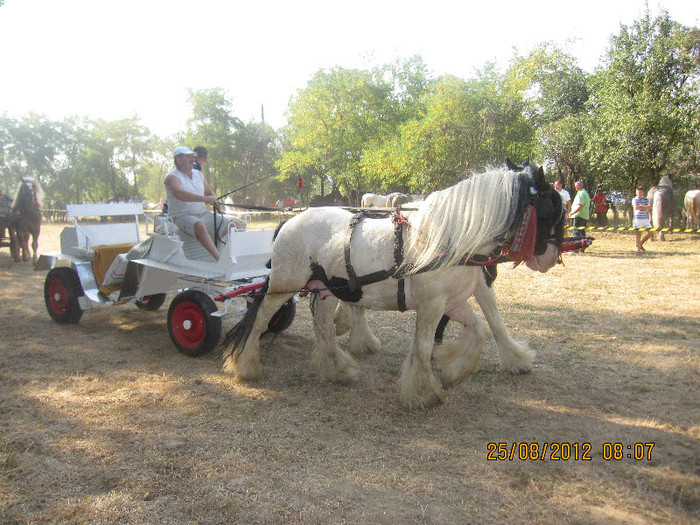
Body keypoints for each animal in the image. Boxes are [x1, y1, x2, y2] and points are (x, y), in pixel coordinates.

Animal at [226, 162, 568, 408]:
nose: (554, 257)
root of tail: (289, 221)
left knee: (323, 328)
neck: (450, 238)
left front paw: (454, 371)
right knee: (260, 320)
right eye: (553, 205)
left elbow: (482, 328)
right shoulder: (432, 305)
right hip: (284, 286)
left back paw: (338, 370)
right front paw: (422, 393)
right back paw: (246, 366)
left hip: (324, 290)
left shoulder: (453, 302)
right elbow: (423, 346)